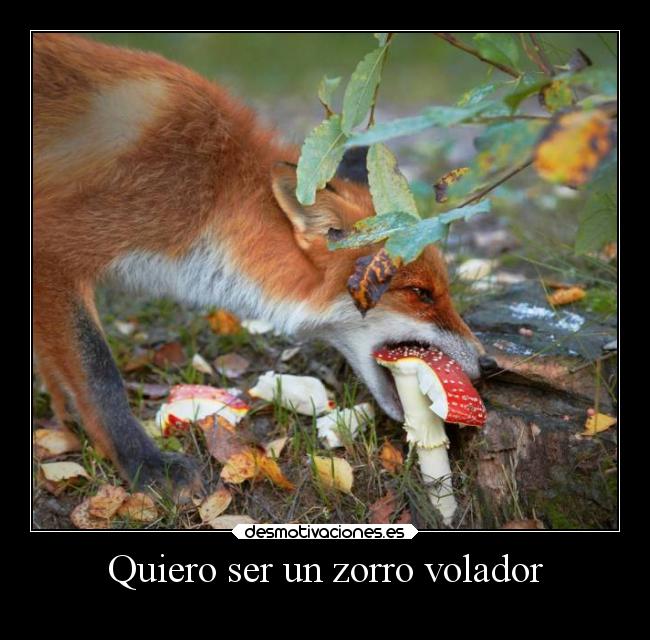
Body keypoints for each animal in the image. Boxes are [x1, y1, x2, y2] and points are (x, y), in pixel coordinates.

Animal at [33, 33, 493, 497]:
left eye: (442, 290)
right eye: (419, 293)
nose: (489, 363)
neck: (212, 191)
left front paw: (67, 419)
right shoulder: (53, 248)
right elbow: (99, 375)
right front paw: (145, 465)